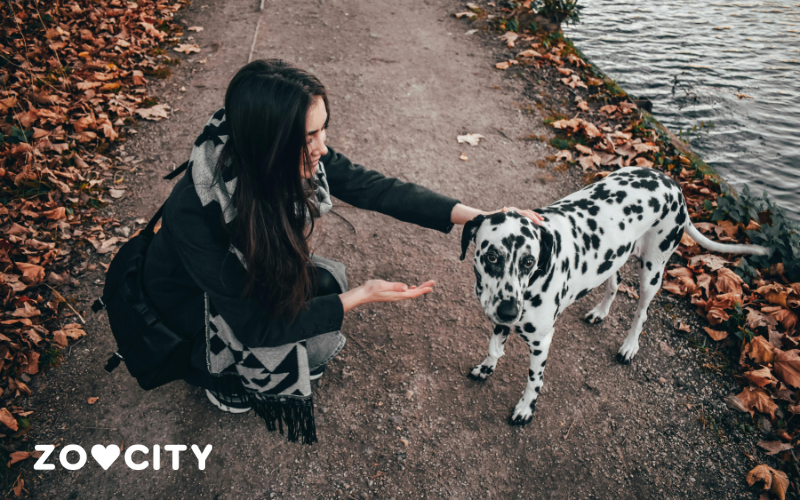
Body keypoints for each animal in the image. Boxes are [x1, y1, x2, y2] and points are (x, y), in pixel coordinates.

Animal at [462, 168, 768, 426]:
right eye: (492, 256)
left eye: (528, 261)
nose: (510, 311)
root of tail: (673, 184)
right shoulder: (499, 320)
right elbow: (494, 348)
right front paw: (486, 368)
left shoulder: (541, 341)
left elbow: (533, 381)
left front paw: (526, 408)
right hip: (613, 258)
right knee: (615, 283)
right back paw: (600, 312)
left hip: (652, 271)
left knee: (642, 312)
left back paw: (629, 345)